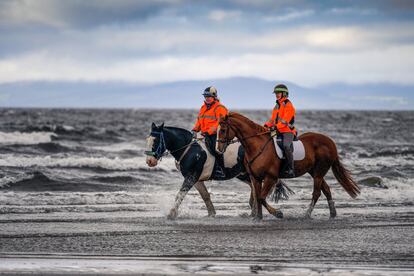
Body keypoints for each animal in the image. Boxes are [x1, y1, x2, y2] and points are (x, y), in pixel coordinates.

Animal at [145, 123, 284, 220]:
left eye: (156, 140)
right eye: (147, 140)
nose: (149, 161)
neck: (190, 149)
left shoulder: (191, 177)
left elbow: (180, 194)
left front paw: (171, 214)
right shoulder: (195, 179)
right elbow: (205, 195)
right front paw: (211, 213)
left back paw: (269, 211)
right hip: (244, 174)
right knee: (255, 189)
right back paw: (254, 210)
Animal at [217, 112, 360, 220]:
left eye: (223, 130)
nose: (218, 149)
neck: (257, 146)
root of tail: (330, 142)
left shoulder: (271, 177)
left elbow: (261, 197)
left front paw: (278, 213)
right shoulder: (255, 178)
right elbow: (257, 198)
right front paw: (258, 217)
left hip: (319, 172)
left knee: (317, 193)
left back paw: (307, 215)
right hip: (314, 172)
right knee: (326, 190)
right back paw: (332, 213)